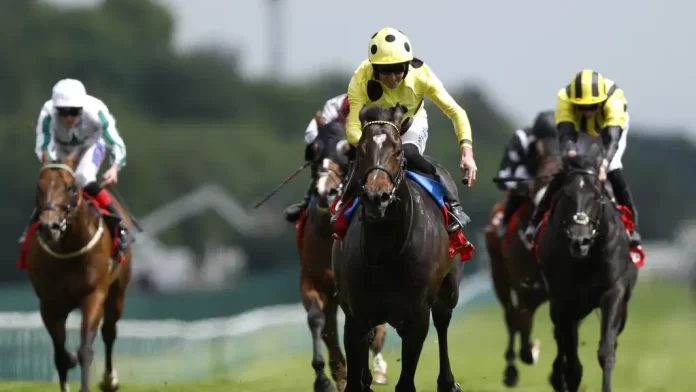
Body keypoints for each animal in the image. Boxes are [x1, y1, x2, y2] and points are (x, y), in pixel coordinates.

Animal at [24, 152, 133, 392]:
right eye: (38, 187)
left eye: (71, 188)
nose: (50, 227)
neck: (69, 249)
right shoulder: (49, 303)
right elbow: (60, 356)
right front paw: (68, 363)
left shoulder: (93, 295)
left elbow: (85, 349)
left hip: (117, 292)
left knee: (109, 332)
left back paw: (109, 380)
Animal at [294, 113, 388, 392]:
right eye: (313, 150)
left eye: (348, 151)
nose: (325, 191)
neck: (329, 235)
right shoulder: (314, 282)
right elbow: (317, 321)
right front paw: (324, 379)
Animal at [334, 105, 464, 392]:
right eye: (361, 149)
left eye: (397, 150)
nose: (376, 197)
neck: (386, 251)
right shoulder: (356, 315)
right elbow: (354, 377)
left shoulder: (417, 316)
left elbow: (406, 381)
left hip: (449, 288)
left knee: (443, 319)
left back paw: (448, 381)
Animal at [536, 144, 640, 392]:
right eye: (566, 194)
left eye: (596, 196)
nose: (579, 240)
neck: (586, 260)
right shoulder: (563, 299)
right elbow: (572, 359)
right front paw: (564, 377)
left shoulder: (613, 292)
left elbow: (606, 351)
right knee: (562, 340)